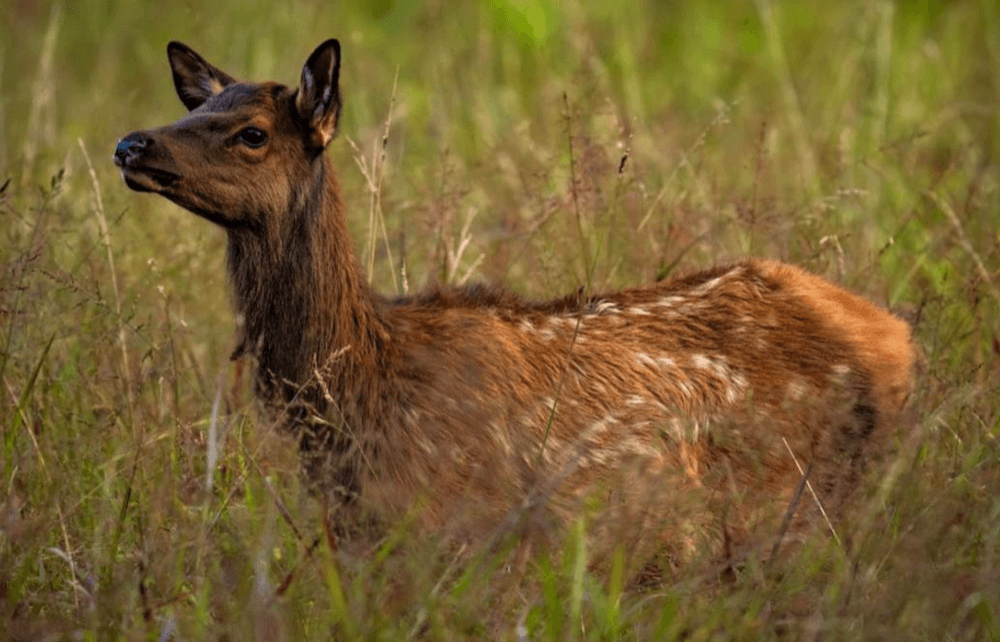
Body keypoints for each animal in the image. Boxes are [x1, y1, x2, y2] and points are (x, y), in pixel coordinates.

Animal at [113, 39, 915, 570]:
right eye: (199, 107)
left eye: (251, 133)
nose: (131, 143)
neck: (356, 399)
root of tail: (898, 337)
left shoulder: (461, 530)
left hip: (807, 505)